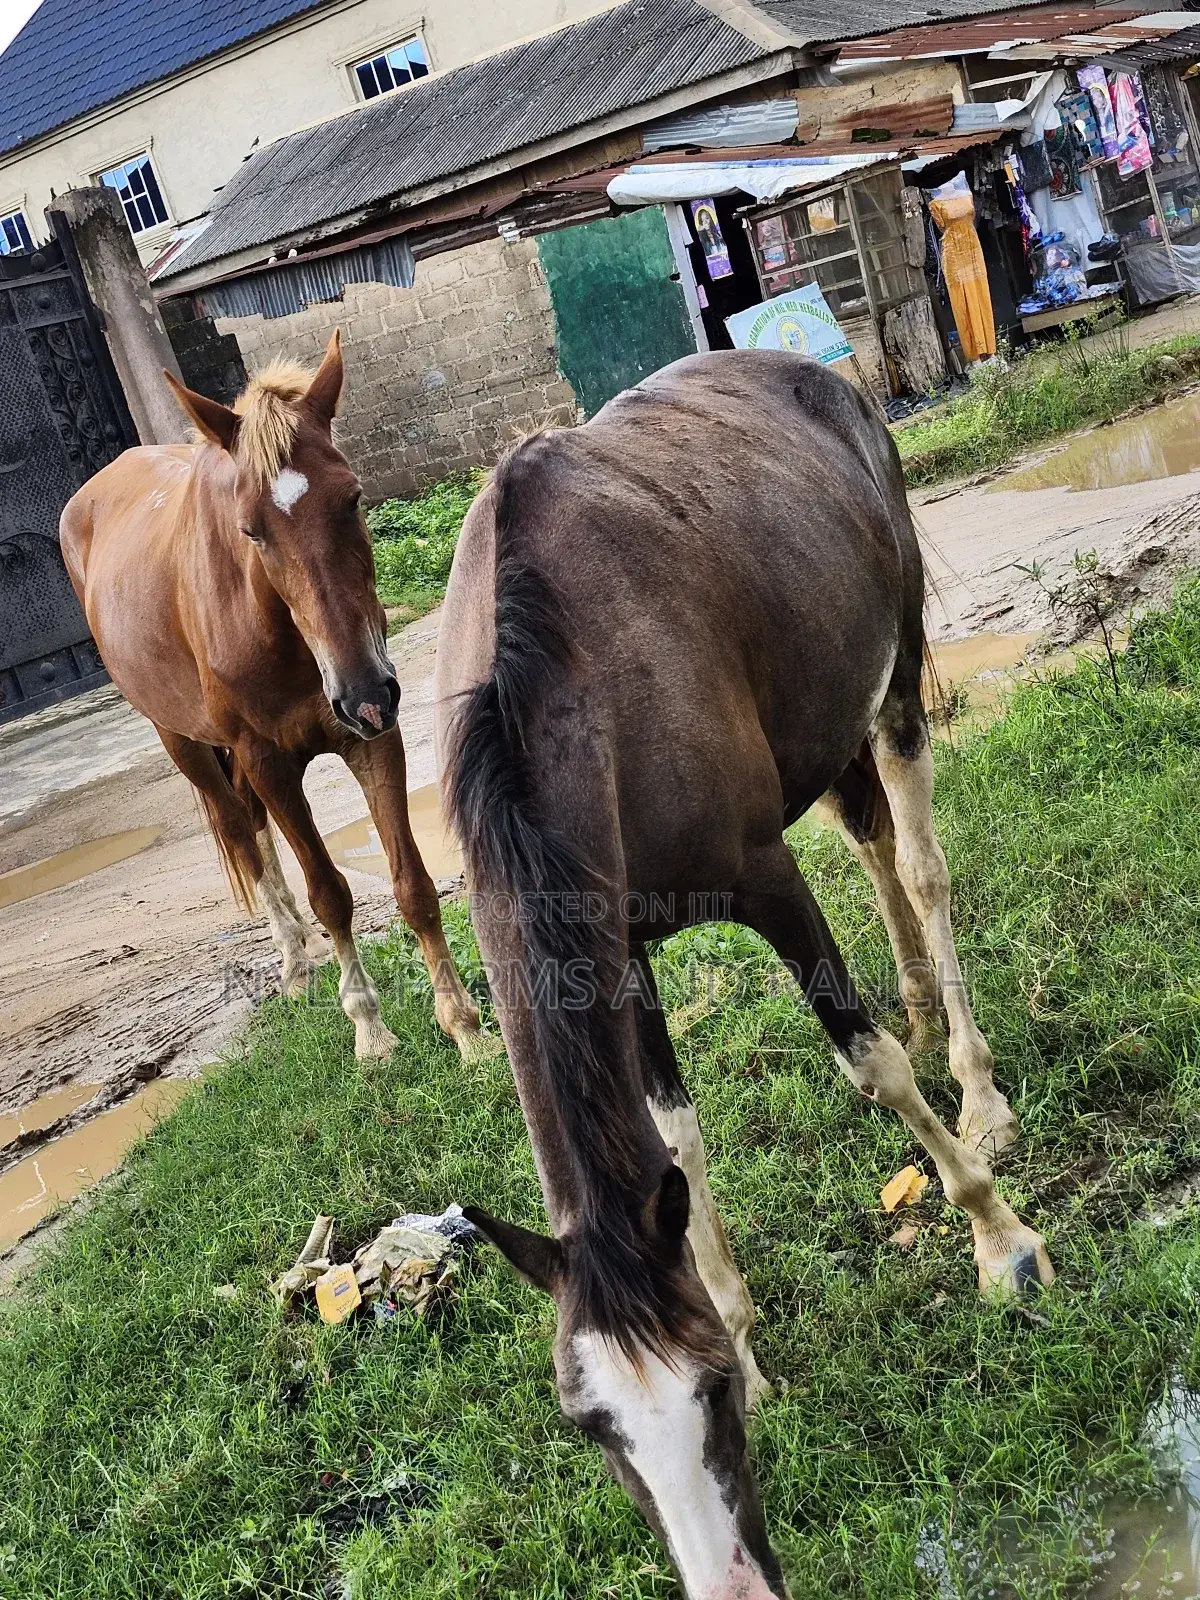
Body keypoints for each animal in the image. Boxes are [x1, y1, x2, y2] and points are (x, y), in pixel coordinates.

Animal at [60, 330, 481, 1061]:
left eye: (353, 498)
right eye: (251, 530)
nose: (362, 691)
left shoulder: (374, 737)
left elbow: (413, 884)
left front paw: (465, 1028)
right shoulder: (268, 760)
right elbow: (330, 892)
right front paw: (370, 1031)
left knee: (254, 826)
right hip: (181, 739)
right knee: (238, 826)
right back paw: (293, 960)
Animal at [434, 349, 1054, 1598]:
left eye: (707, 1394)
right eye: (590, 1427)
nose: (734, 1584)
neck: (560, 689)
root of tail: (813, 368)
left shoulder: (764, 877)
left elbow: (866, 1061)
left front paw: (999, 1238)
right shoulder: (619, 953)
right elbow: (678, 1139)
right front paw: (753, 1333)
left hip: (896, 678)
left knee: (919, 864)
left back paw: (976, 1086)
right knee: (869, 837)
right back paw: (927, 1013)